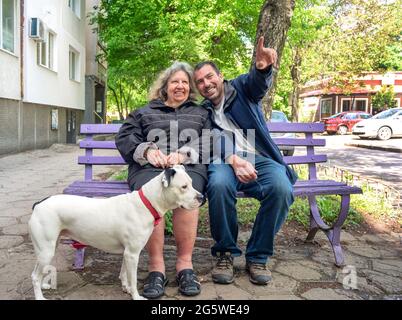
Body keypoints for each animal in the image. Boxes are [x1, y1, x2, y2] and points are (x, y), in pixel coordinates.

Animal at [27, 165, 203, 300]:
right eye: (184, 187)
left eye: (192, 183)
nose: (201, 197)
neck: (146, 203)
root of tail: (39, 204)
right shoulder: (132, 253)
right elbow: (133, 279)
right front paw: (136, 296)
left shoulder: (127, 253)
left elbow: (124, 273)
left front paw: (126, 287)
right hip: (47, 250)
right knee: (34, 276)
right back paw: (40, 296)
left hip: (47, 248)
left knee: (38, 272)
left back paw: (44, 285)